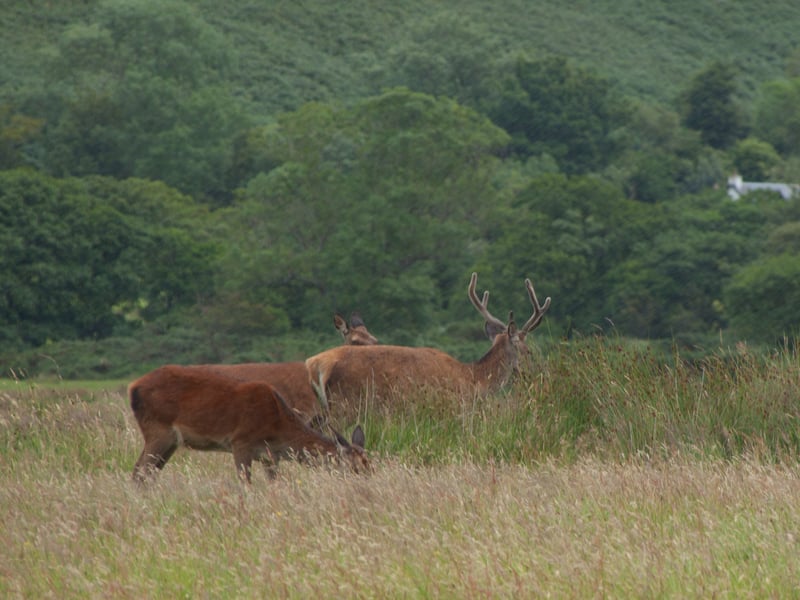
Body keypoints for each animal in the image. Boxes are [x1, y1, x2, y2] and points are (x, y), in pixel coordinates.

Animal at [129, 364, 370, 483]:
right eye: (354, 468)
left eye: (371, 466)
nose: (366, 489)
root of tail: (133, 387)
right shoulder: (240, 441)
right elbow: (245, 483)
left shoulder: (270, 456)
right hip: (157, 430)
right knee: (139, 471)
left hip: (169, 441)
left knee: (149, 473)